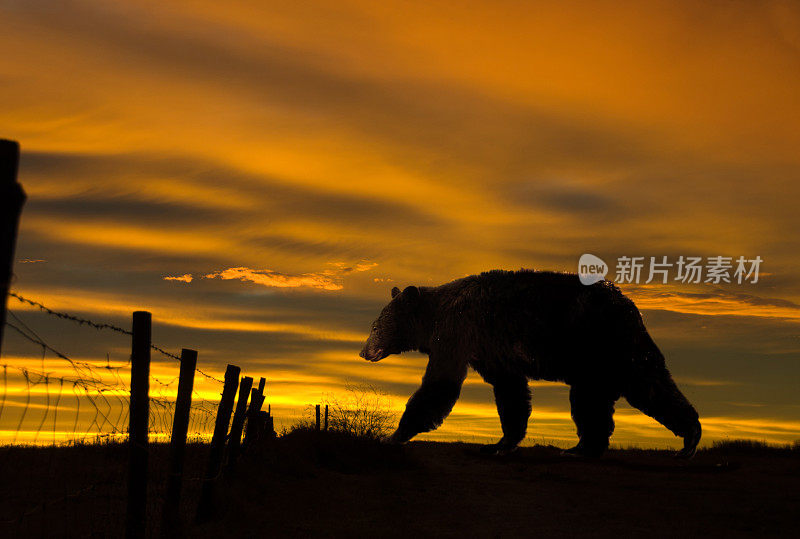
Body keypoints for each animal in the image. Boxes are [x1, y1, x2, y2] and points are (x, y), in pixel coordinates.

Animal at [360, 270, 704, 460]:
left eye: (376, 325)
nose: (364, 351)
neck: (433, 316)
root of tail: (632, 306)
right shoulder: (490, 349)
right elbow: (510, 391)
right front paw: (500, 443)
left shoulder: (458, 331)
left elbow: (440, 384)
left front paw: (393, 434)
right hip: (601, 357)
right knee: (607, 397)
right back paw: (584, 448)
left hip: (600, 342)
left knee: (636, 386)